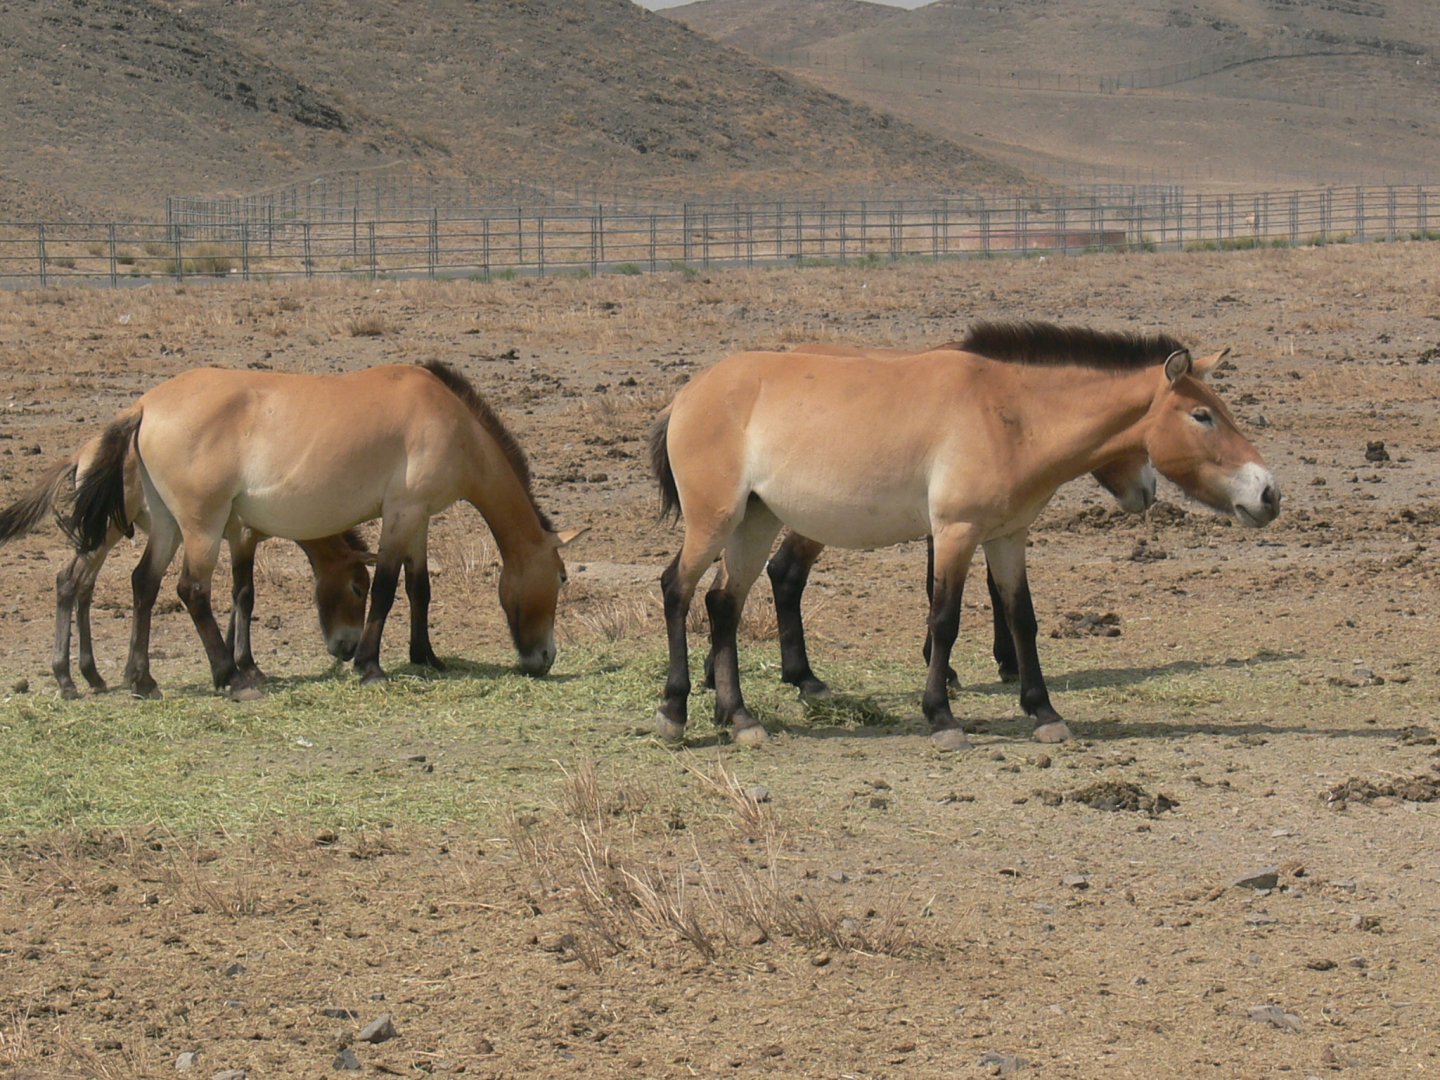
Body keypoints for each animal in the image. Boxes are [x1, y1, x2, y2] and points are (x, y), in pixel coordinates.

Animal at [0, 436, 373, 699]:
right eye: (357, 588)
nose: (347, 649)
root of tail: (82, 453)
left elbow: (235, 599)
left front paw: (228, 665)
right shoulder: (243, 536)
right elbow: (244, 595)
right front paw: (246, 666)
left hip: (111, 532)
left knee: (86, 586)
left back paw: (94, 676)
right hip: (107, 531)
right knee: (69, 581)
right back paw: (66, 680)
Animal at [67, 361, 581, 699]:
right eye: (561, 578)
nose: (545, 659)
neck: (449, 420)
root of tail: (144, 406)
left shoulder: (418, 520)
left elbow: (419, 588)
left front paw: (427, 657)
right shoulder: (400, 514)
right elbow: (387, 590)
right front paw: (371, 666)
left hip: (168, 526)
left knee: (144, 584)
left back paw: (142, 680)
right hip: (202, 527)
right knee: (191, 591)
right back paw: (231, 678)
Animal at [706, 342, 1156, 699]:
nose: (1149, 490)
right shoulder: (953, 524)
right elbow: (954, 589)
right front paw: (981, 665)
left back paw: (735, 674)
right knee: (779, 574)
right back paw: (791, 676)